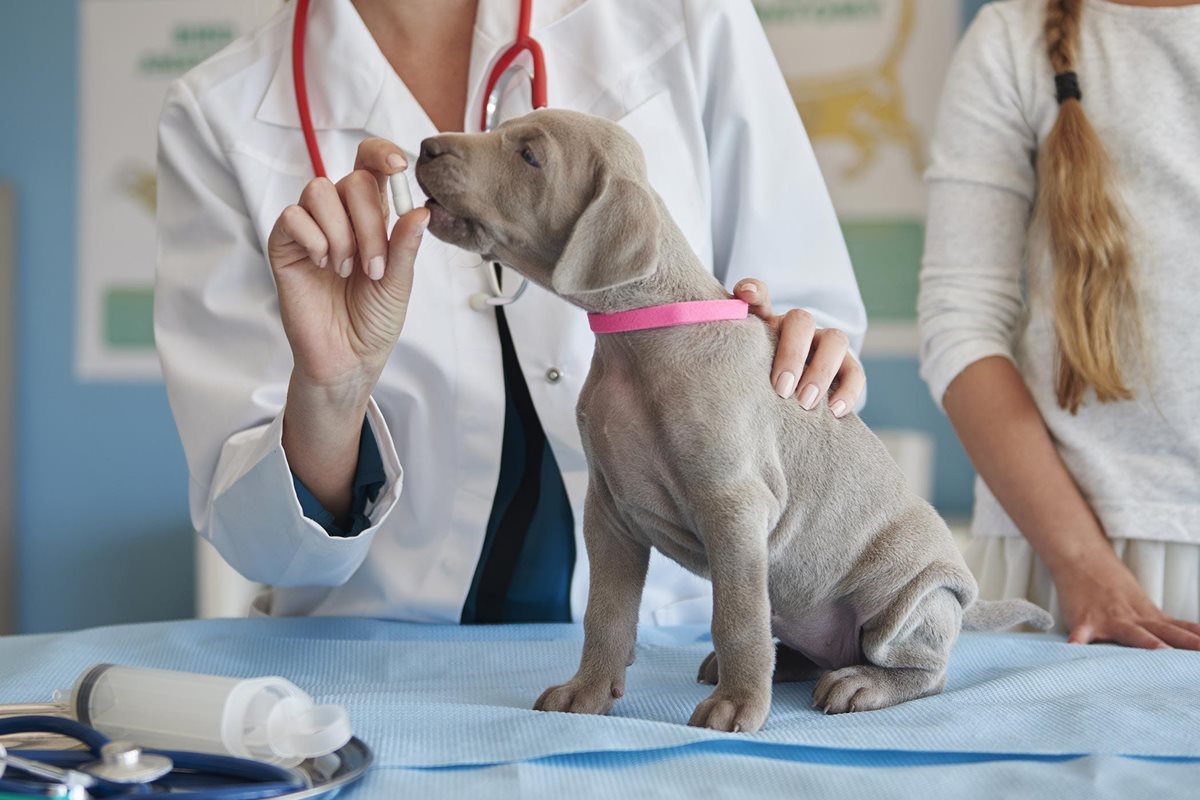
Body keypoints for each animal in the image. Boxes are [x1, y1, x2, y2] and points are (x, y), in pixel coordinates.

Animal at [412, 109, 1051, 734]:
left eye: (530, 156)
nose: (426, 146)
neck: (642, 340)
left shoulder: (734, 508)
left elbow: (737, 617)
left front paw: (738, 706)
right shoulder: (609, 513)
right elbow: (606, 613)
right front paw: (587, 691)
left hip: (909, 602)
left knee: (921, 668)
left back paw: (861, 682)